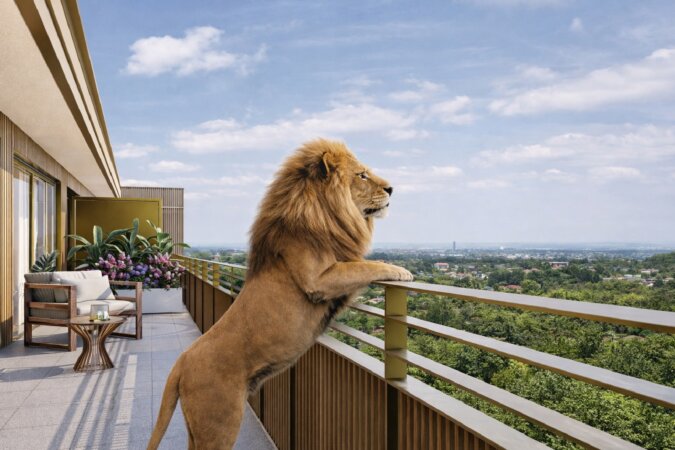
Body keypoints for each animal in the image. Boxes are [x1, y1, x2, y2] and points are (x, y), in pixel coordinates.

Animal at [147, 139, 413, 450]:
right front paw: (402, 271)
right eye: (362, 175)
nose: (391, 189)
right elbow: (365, 266)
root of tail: (180, 363)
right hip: (220, 423)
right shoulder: (319, 279)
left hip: (197, 428)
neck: (324, 212)